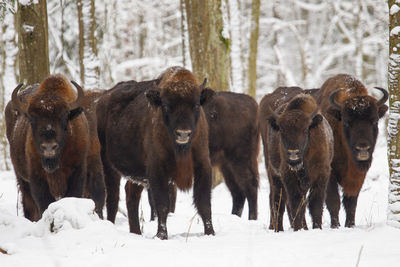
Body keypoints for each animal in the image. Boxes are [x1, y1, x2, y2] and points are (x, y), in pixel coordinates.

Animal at [96, 68, 216, 240]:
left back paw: (136, 232)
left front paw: (210, 233)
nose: (183, 133)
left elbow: (204, 203)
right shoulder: (157, 170)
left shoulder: (203, 166)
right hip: (108, 164)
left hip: (136, 172)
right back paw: (112, 226)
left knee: (131, 194)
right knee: (113, 197)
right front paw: (161, 235)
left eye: (195, 105)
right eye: (166, 106)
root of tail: (103, 98)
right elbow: (162, 204)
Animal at [258, 88, 332, 232]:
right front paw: (298, 229)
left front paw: (316, 228)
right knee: (277, 201)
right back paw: (278, 229)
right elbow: (296, 204)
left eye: (305, 130)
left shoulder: (322, 174)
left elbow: (315, 204)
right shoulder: (288, 175)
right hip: (274, 174)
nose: (293, 153)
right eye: (282, 131)